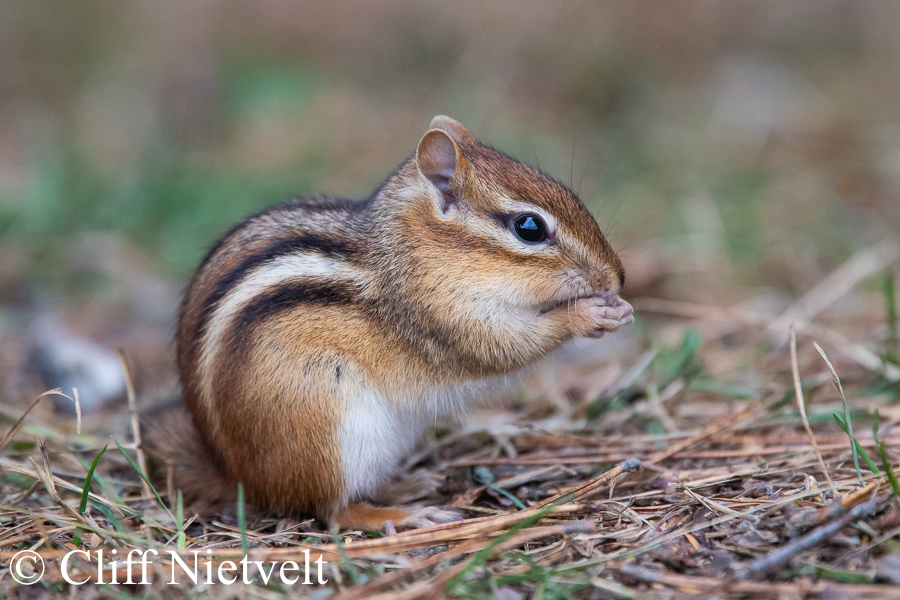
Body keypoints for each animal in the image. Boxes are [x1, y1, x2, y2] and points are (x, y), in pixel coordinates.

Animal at [151, 116, 633, 531]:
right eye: (529, 227)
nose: (618, 277)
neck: (414, 251)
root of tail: (241, 480)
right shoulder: (442, 316)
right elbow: (502, 346)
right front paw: (589, 314)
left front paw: (619, 307)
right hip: (330, 429)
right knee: (332, 510)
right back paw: (404, 515)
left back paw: (410, 485)